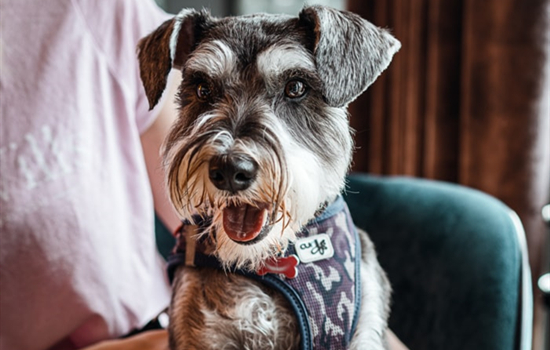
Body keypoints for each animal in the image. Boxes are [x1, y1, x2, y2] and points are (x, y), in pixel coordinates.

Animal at [138, 6, 402, 350]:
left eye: (296, 87)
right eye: (203, 89)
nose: (229, 169)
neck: (269, 262)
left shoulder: (365, 329)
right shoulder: (200, 331)